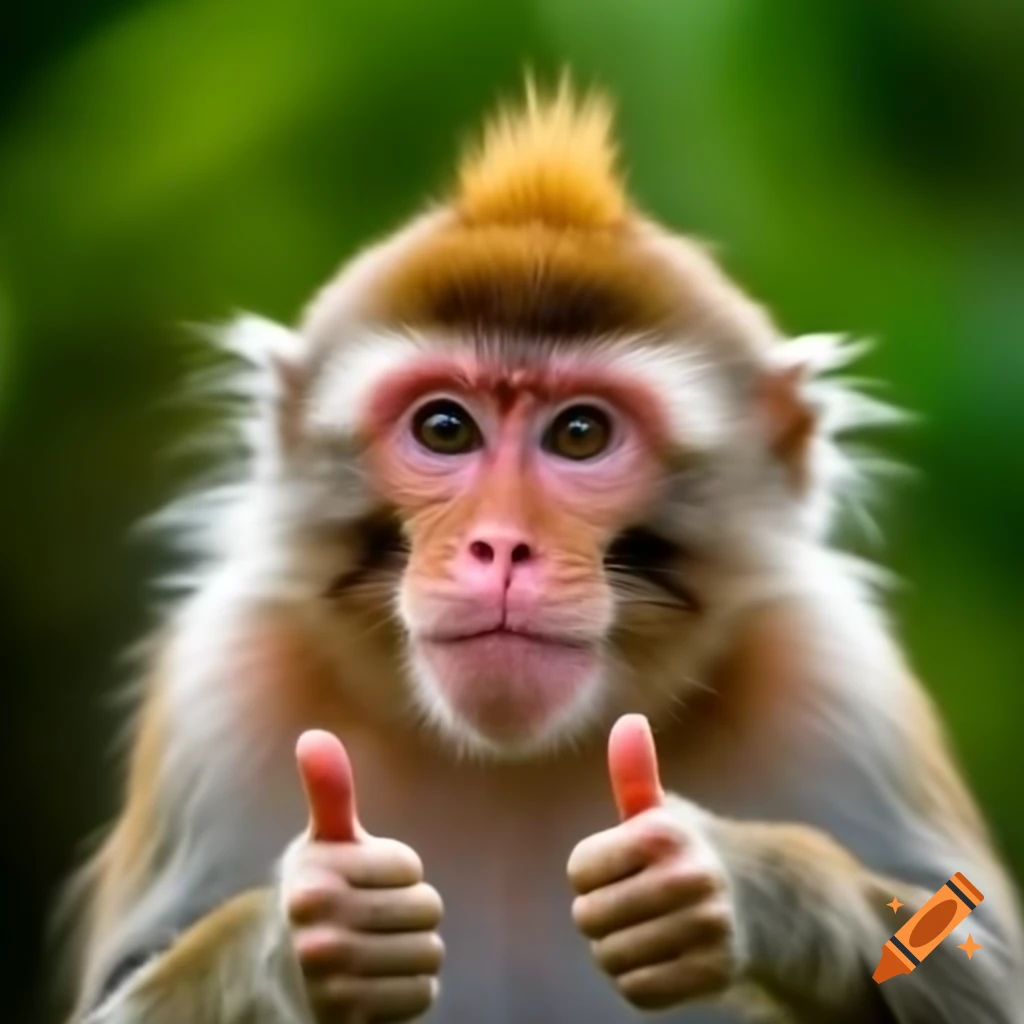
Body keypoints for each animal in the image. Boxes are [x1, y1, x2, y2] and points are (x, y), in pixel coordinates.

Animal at [62, 82, 1024, 1024]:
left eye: (580, 433)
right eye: (446, 428)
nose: (502, 545)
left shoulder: (839, 678)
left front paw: (722, 882)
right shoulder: (218, 687)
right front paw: (318, 935)